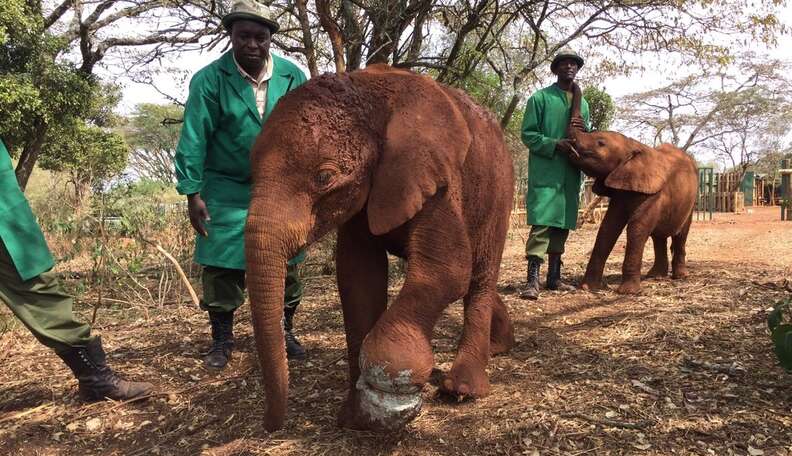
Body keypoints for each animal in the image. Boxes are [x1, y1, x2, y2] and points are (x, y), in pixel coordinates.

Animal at [244, 64, 516, 432]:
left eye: (325, 177)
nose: (269, 424)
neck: (365, 91)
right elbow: (358, 276)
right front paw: (356, 416)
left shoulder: (439, 177)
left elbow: (448, 269)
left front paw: (391, 390)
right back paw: (500, 346)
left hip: (499, 189)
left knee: (480, 276)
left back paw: (462, 389)